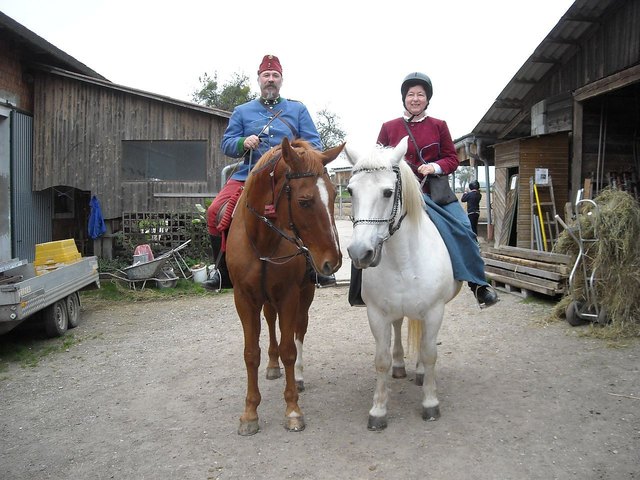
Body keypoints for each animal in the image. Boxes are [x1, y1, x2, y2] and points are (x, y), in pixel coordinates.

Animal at [226, 136, 344, 436]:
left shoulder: (290, 295)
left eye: (333, 195)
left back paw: (298, 377)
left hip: (304, 294)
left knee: (299, 331)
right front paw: (249, 413)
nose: (334, 261)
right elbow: (251, 353)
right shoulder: (244, 299)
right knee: (270, 324)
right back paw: (272, 364)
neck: (262, 241)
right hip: (266, 299)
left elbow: (290, 349)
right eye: (304, 201)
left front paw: (292, 410)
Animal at [344, 137, 460, 430]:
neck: (404, 260)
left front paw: (430, 403)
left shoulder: (434, 311)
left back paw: (419, 373)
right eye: (350, 191)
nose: (360, 253)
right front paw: (378, 410)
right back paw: (400, 367)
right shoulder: (377, 314)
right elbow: (381, 359)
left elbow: (430, 354)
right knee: (398, 327)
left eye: (387, 192)